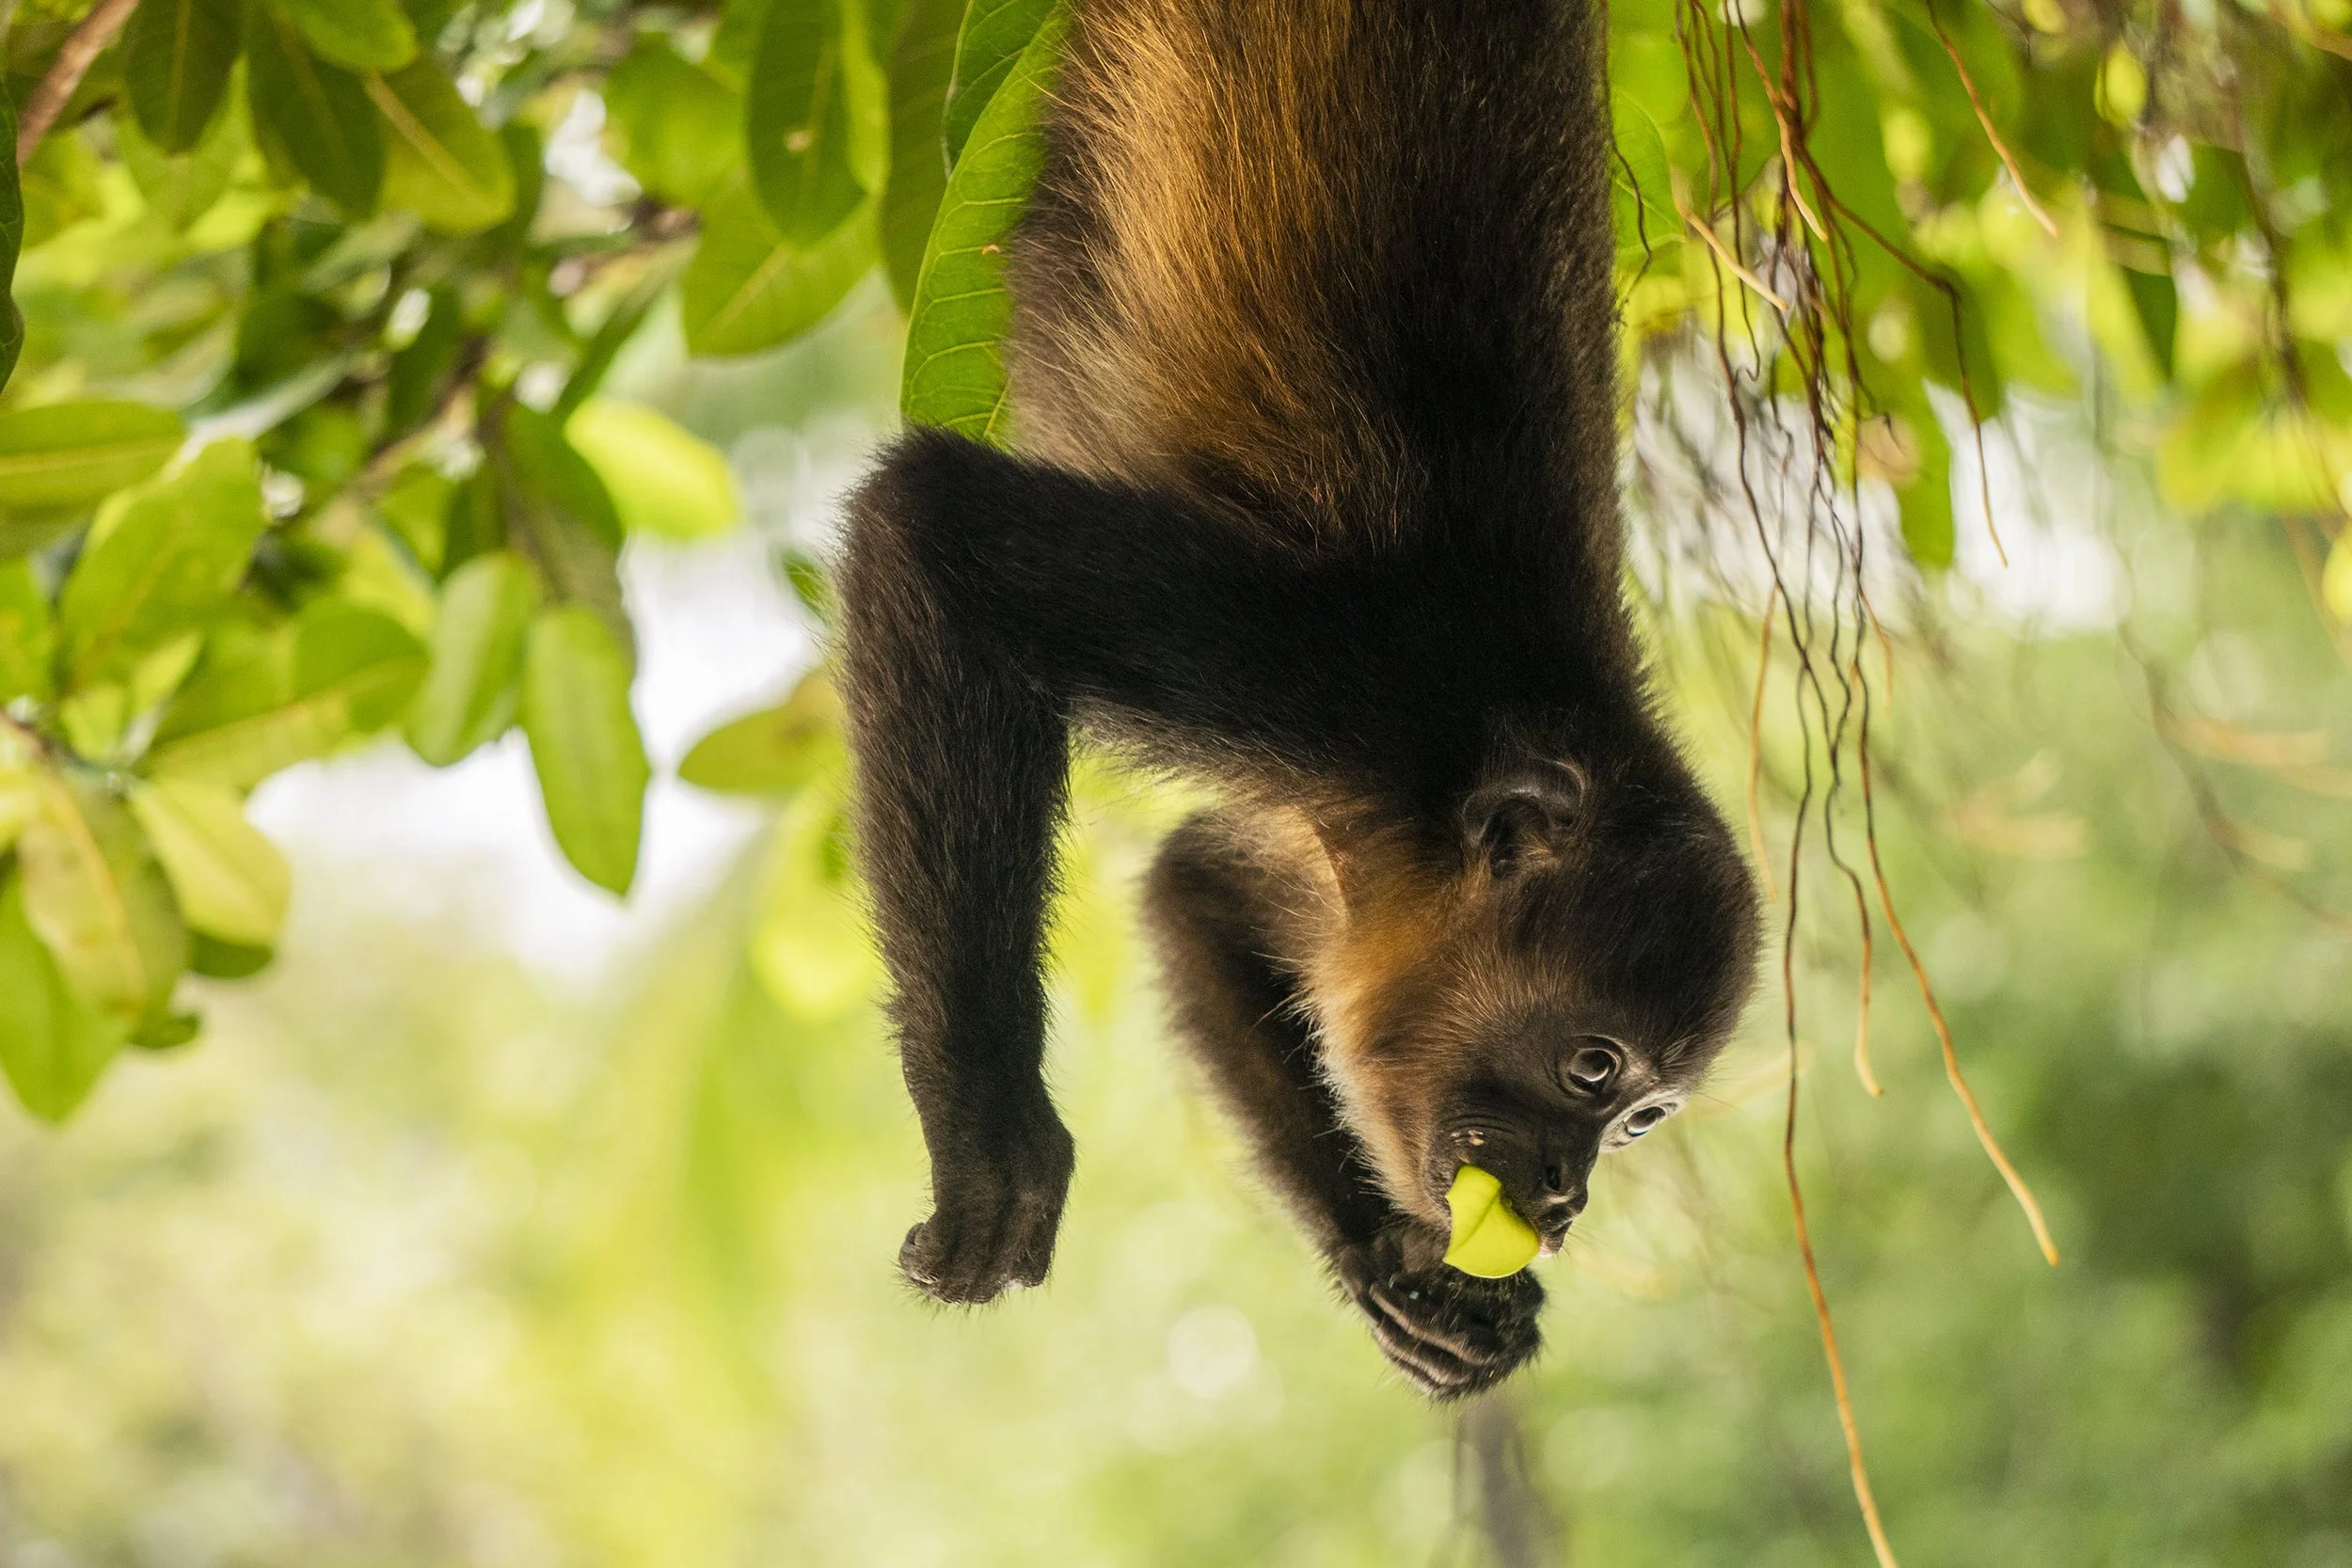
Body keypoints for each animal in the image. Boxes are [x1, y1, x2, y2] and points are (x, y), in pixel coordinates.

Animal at [834, 0, 1761, 1398]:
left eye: (1644, 1118)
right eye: (1593, 1066)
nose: (1563, 1197)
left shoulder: (1352, 861)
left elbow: (1189, 892)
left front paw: (1401, 1271)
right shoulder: (1354, 675)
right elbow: (930, 530)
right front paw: (992, 1134)